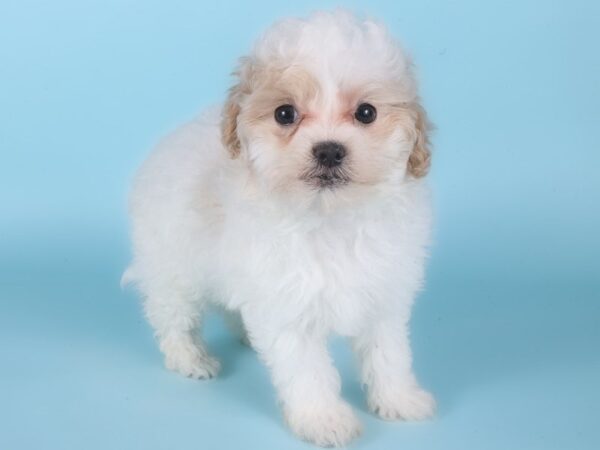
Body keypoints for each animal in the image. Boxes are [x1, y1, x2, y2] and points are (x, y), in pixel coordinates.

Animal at [124, 10, 435, 447]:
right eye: (285, 114)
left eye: (366, 113)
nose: (329, 150)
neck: (328, 216)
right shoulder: (288, 307)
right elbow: (309, 371)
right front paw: (323, 418)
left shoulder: (382, 294)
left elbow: (388, 353)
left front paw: (399, 399)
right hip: (173, 266)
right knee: (172, 316)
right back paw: (189, 357)